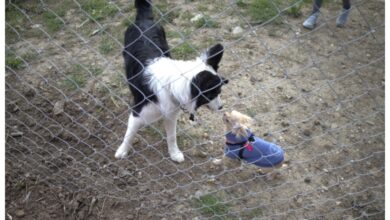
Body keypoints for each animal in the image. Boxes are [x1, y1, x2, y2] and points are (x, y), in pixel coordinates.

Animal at [114, 0, 229, 162]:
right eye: (213, 93)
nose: (221, 107)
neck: (170, 86)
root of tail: (143, 20)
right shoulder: (138, 112)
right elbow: (129, 134)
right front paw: (122, 151)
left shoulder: (171, 113)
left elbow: (172, 136)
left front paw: (174, 153)